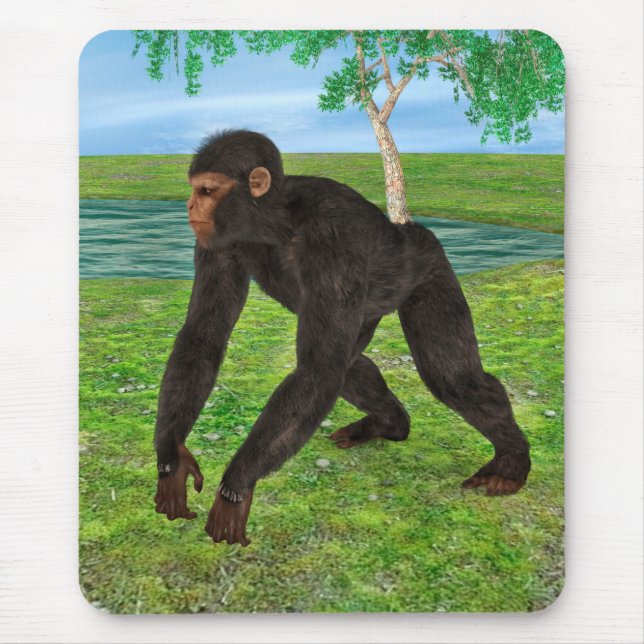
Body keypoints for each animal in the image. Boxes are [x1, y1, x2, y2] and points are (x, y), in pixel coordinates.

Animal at [153, 129, 531, 547]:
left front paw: (235, 487)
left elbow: (318, 370)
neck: (273, 222)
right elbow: (204, 336)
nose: (190, 204)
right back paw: (390, 423)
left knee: (451, 376)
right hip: (371, 311)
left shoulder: (334, 243)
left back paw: (511, 461)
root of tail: (410, 228)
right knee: (349, 366)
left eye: (207, 189)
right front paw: (171, 461)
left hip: (430, 265)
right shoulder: (217, 244)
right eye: (196, 188)